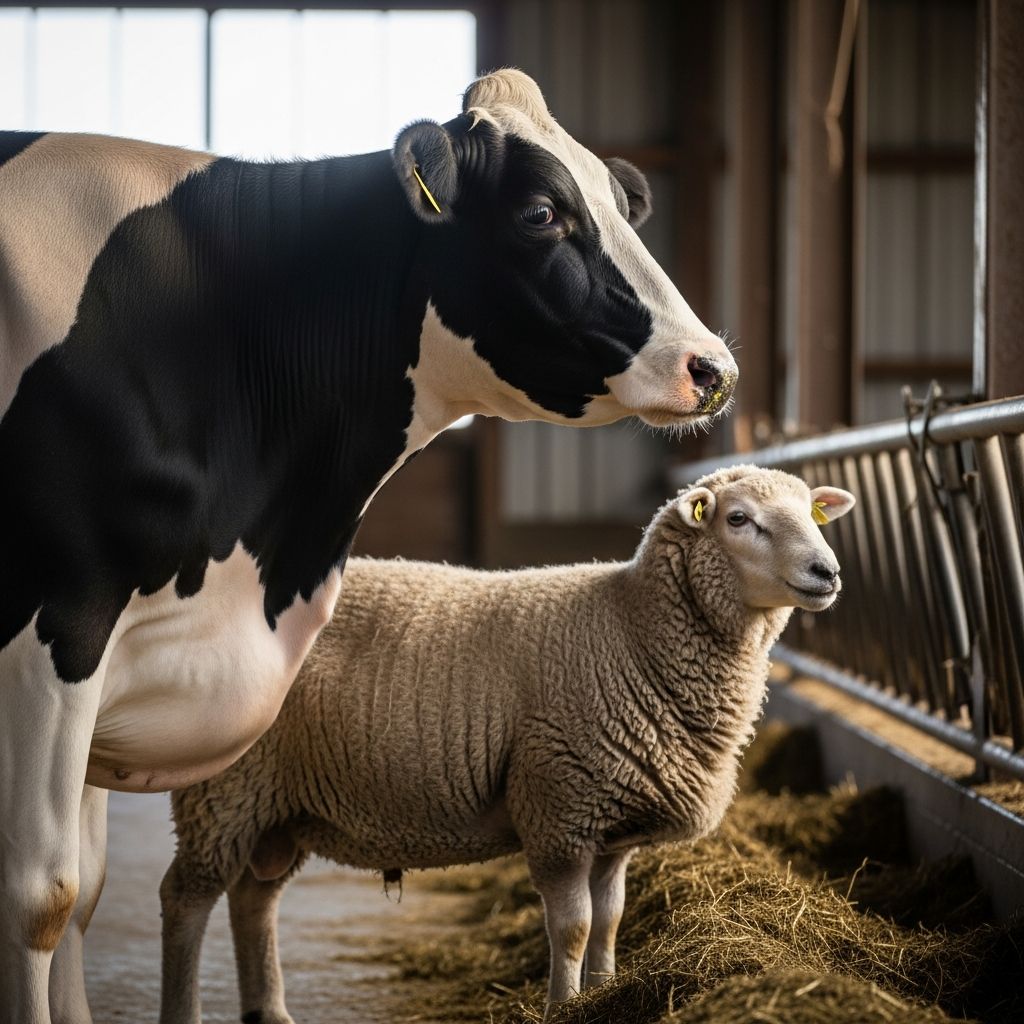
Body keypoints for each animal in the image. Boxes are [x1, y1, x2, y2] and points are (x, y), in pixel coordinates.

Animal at [0, 70, 737, 1023]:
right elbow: (42, 895)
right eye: (540, 213)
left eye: (621, 201)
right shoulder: (56, 630)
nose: (712, 367)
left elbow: (84, 888)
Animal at [158, 465, 855, 1024]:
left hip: (277, 803)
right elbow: (572, 927)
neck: (631, 631)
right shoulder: (559, 804)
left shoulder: (613, 824)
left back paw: (269, 1010)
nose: (827, 572)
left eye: (812, 512)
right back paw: (187, 1009)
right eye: (739, 519)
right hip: (224, 790)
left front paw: (604, 994)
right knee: (186, 899)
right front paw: (564, 1006)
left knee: (254, 899)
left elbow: (610, 920)